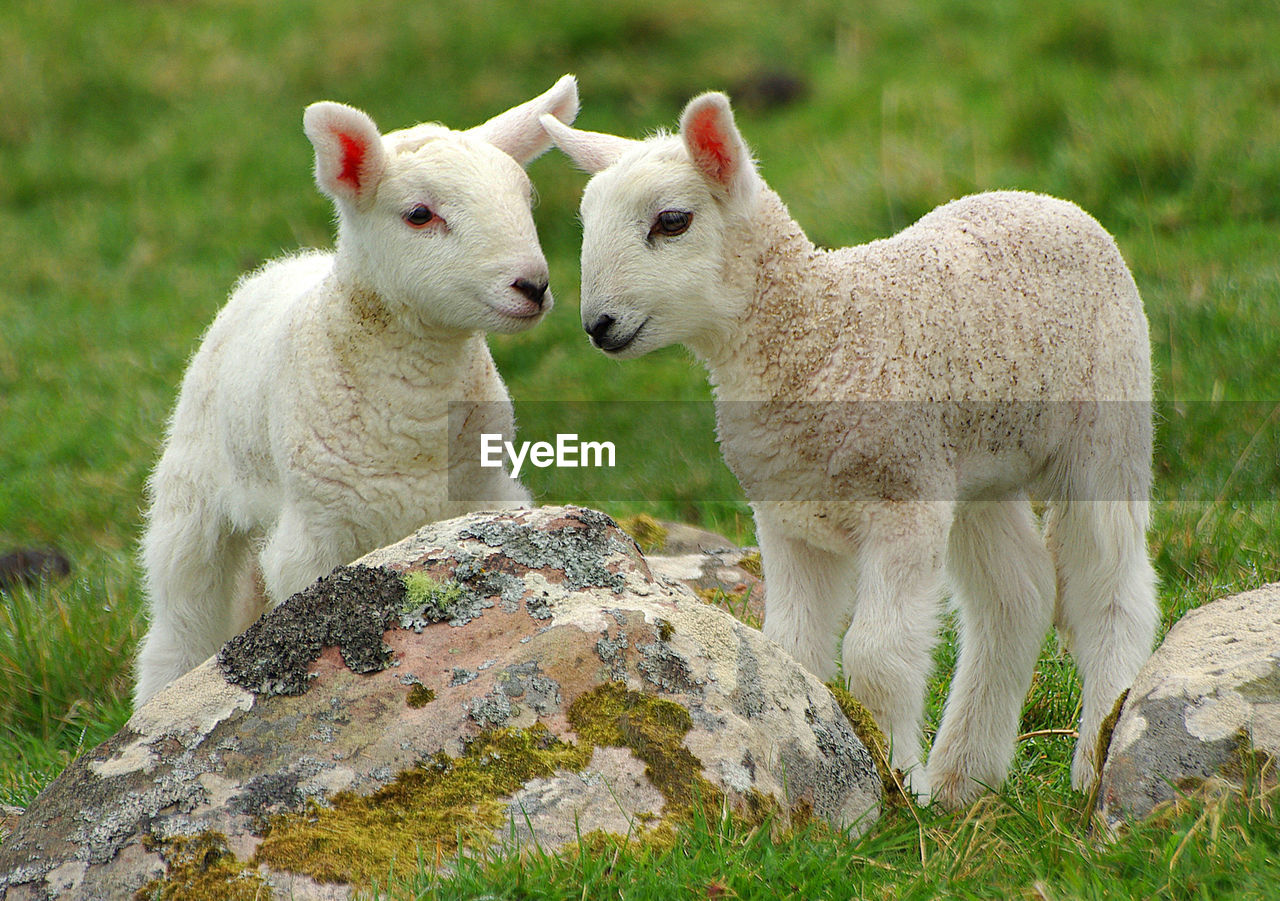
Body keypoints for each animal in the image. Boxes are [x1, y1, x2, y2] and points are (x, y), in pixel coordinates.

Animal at [136, 75, 581, 706]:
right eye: (419, 214)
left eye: (526, 198)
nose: (533, 286)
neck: (414, 413)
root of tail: (287, 263)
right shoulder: (316, 536)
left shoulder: (484, 496)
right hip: (192, 499)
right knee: (181, 622)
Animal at [540, 93, 1162, 808]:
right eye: (585, 221)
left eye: (673, 221)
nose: (598, 326)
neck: (823, 334)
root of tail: (1047, 200)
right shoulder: (789, 518)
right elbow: (794, 653)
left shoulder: (901, 503)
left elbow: (875, 657)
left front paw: (900, 787)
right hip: (975, 466)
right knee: (1019, 594)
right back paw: (964, 779)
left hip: (1107, 427)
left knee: (1111, 589)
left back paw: (1091, 763)